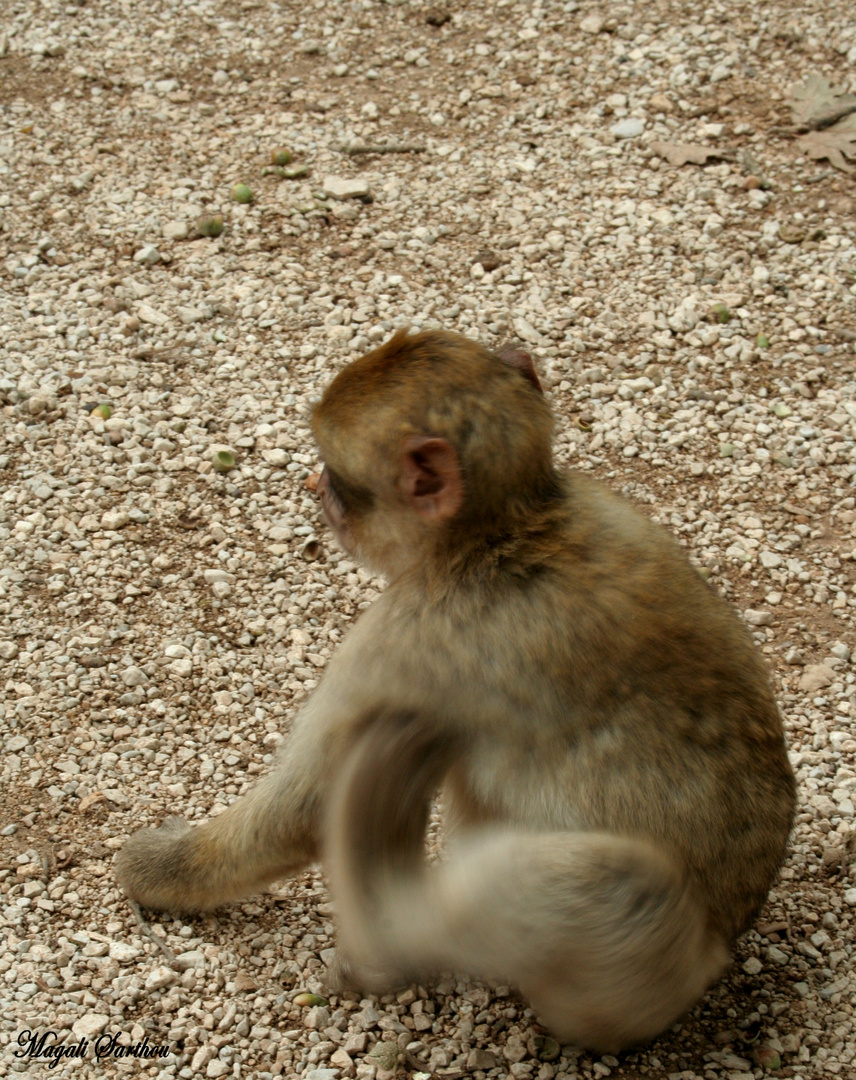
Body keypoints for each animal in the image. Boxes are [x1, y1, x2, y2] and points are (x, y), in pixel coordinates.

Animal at [117, 328, 798, 1054]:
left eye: (337, 476)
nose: (316, 486)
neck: (508, 528)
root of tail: (725, 945)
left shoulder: (408, 636)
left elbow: (299, 807)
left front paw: (161, 869)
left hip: (632, 991)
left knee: (612, 886)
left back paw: (383, 910)